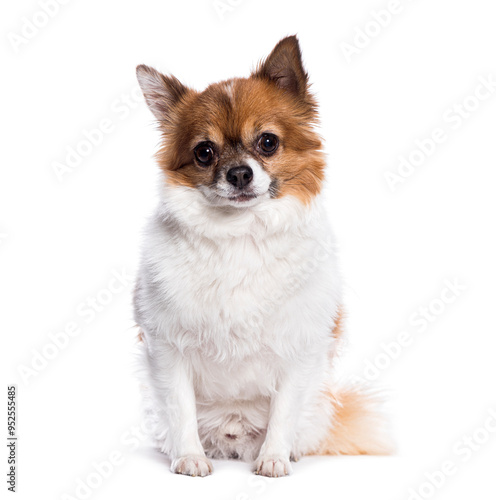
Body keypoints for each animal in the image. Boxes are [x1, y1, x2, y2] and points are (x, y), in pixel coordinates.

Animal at [135, 35, 392, 476]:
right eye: (204, 152)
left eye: (268, 142)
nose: (240, 173)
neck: (240, 234)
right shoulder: (169, 349)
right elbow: (181, 408)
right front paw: (189, 458)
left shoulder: (298, 350)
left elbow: (284, 411)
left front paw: (273, 459)